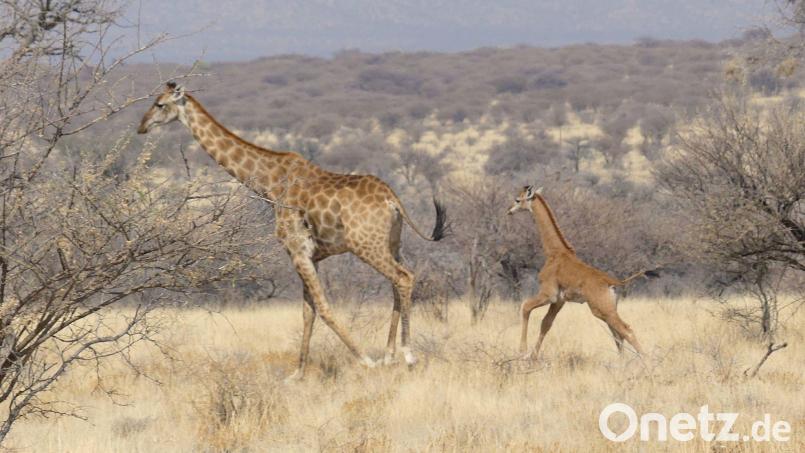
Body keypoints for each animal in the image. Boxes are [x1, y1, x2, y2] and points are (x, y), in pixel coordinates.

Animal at [137, 82, 448, 379]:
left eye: (159, 104)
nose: (141, 126)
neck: (269, 183)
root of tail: (392, 200)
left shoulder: (297, 251)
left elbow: (322, 308)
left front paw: (365, 362)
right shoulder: (311, 256)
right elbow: (307, 312)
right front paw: (297, 374)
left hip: (366, 245)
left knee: (403, 277)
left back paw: (406, 355)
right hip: (392, 243)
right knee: (397, 282)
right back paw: (389, 355)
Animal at [507, 185, 652, 360]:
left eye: (517, 199)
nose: (509, 210)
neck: (555, 252)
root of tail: (613, 283)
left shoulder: (549, 294)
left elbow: (525, 306)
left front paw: (523, 351)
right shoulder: (559, 300)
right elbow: (546, 324)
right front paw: (533, 356)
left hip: (601, 310)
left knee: (626, 330)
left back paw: (646, 361)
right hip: (608, 310)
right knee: (618, 334)